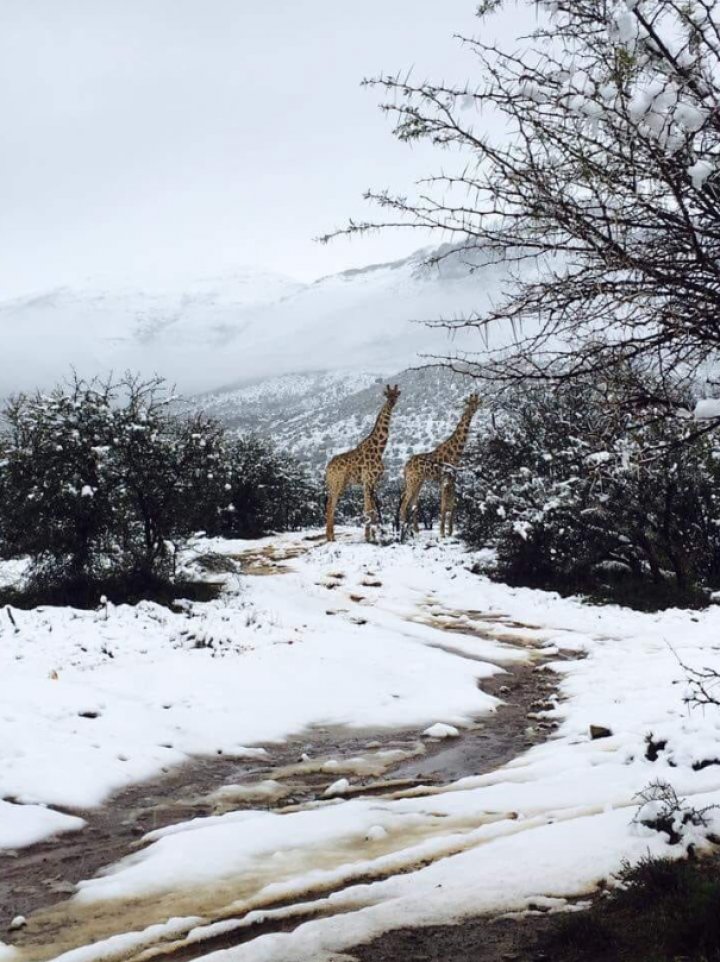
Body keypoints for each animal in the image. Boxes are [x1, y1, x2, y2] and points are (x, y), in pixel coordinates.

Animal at [324, 382, 402, 540]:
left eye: (396, 395)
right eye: (387, 395)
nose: (392, 403)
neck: (379, 450)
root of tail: (327, 468)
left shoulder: (373, 482)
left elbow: (373, 511)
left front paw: (374, 536)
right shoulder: (367, 480)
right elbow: (368, 509)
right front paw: (368, 537)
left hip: (338, 484)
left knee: (330, 504)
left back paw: (330, 536)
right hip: (337, 483)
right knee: (330, 505)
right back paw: (331, 537)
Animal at [396, 392, 480, 540]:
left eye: (477, 401)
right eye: (471, 402)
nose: (476, 405)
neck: (455, 452)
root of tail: (405, 468)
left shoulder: (452, 478)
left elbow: (453, 503)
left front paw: (450, 531)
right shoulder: (444, 478)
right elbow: (443, 505)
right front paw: (442, 533)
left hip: (419, 482)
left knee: (412, 504)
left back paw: (414, 531)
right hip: (413, 481)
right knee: (404, 504)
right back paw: (404, 531)